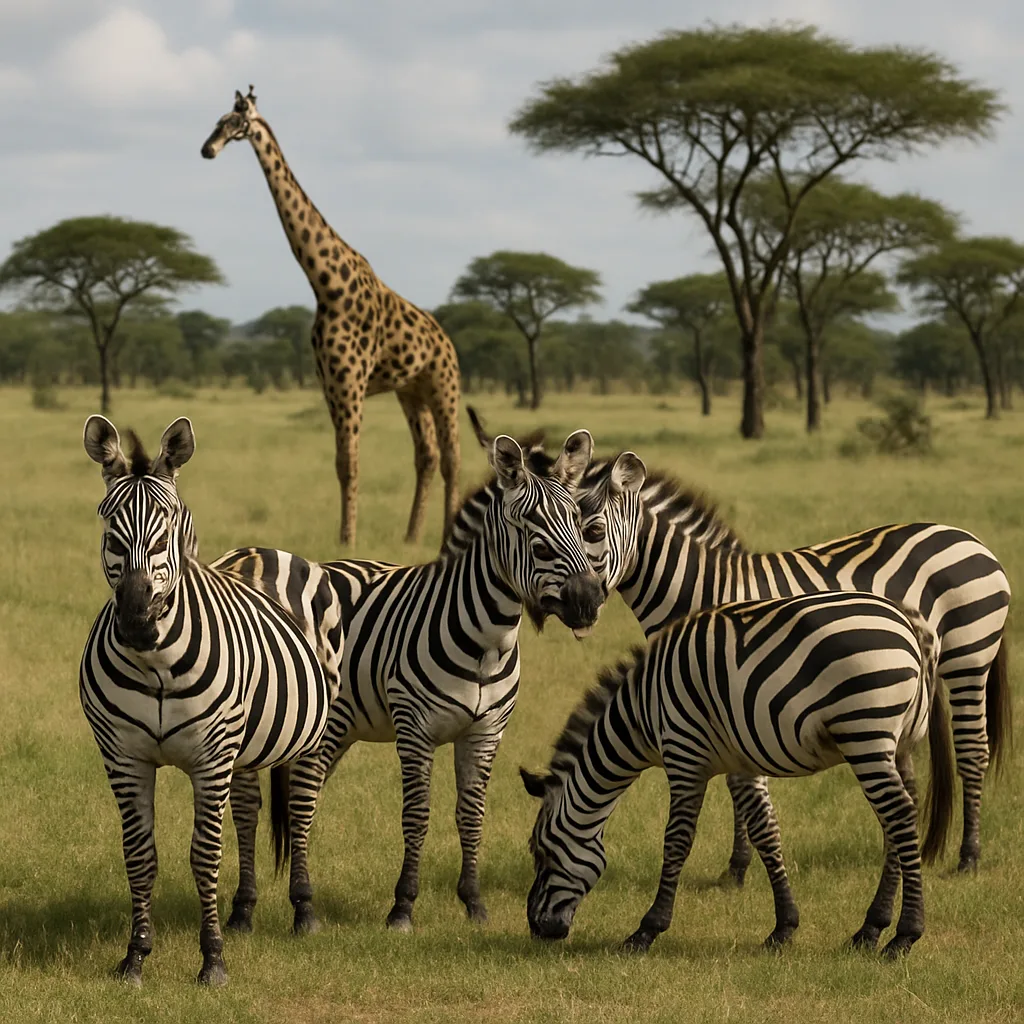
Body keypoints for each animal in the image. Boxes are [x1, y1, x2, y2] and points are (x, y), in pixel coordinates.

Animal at [79, 415, 344, 987]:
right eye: (109, 528)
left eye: (169, 528)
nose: (136, 620)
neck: (155, 661)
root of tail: (264, 551)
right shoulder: (124, 757)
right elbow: (139, 856)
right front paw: (135, 958)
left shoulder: (210, 758)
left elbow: (204, 856)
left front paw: (213, 961)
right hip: (245, 747)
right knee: (246, 813)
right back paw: (242, 911)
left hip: (310, 735)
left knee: (302, 810)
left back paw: (304, 911)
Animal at [212, 427, 606, 935]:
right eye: (530, 528)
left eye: (580, 521)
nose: (589, 599)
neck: (487, 639)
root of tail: (245, 557)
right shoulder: (415, 728)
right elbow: (417, 816)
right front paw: (402, 907)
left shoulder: (486, 731)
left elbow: (471, 814)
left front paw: (474, 903)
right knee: (251, 807)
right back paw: (247, 910)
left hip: (326, 729)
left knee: (301, 799)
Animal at [465, 410, 1011, 877]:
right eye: (542, 532)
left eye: (592, 528)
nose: (580, 604)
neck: (701, 588)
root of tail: (967, 536)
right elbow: (735, 776)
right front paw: (739, 865)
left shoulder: (731, 686)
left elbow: (738, 780)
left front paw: (738, 868)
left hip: (969, 658)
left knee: (973, 749)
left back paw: (969, 858)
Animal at [521, 591, 955, 958]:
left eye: (541, 852)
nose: (535, 927)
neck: (642, 712)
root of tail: (909, 622)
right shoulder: (743, 764)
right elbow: (766, 833)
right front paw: (783, 927)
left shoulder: (683, 755)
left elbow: (677, 841)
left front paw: (647, 930)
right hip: (897, 745)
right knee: (899, 820)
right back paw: (870, 929)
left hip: (865, 733)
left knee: (899, 816)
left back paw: (904, 936)